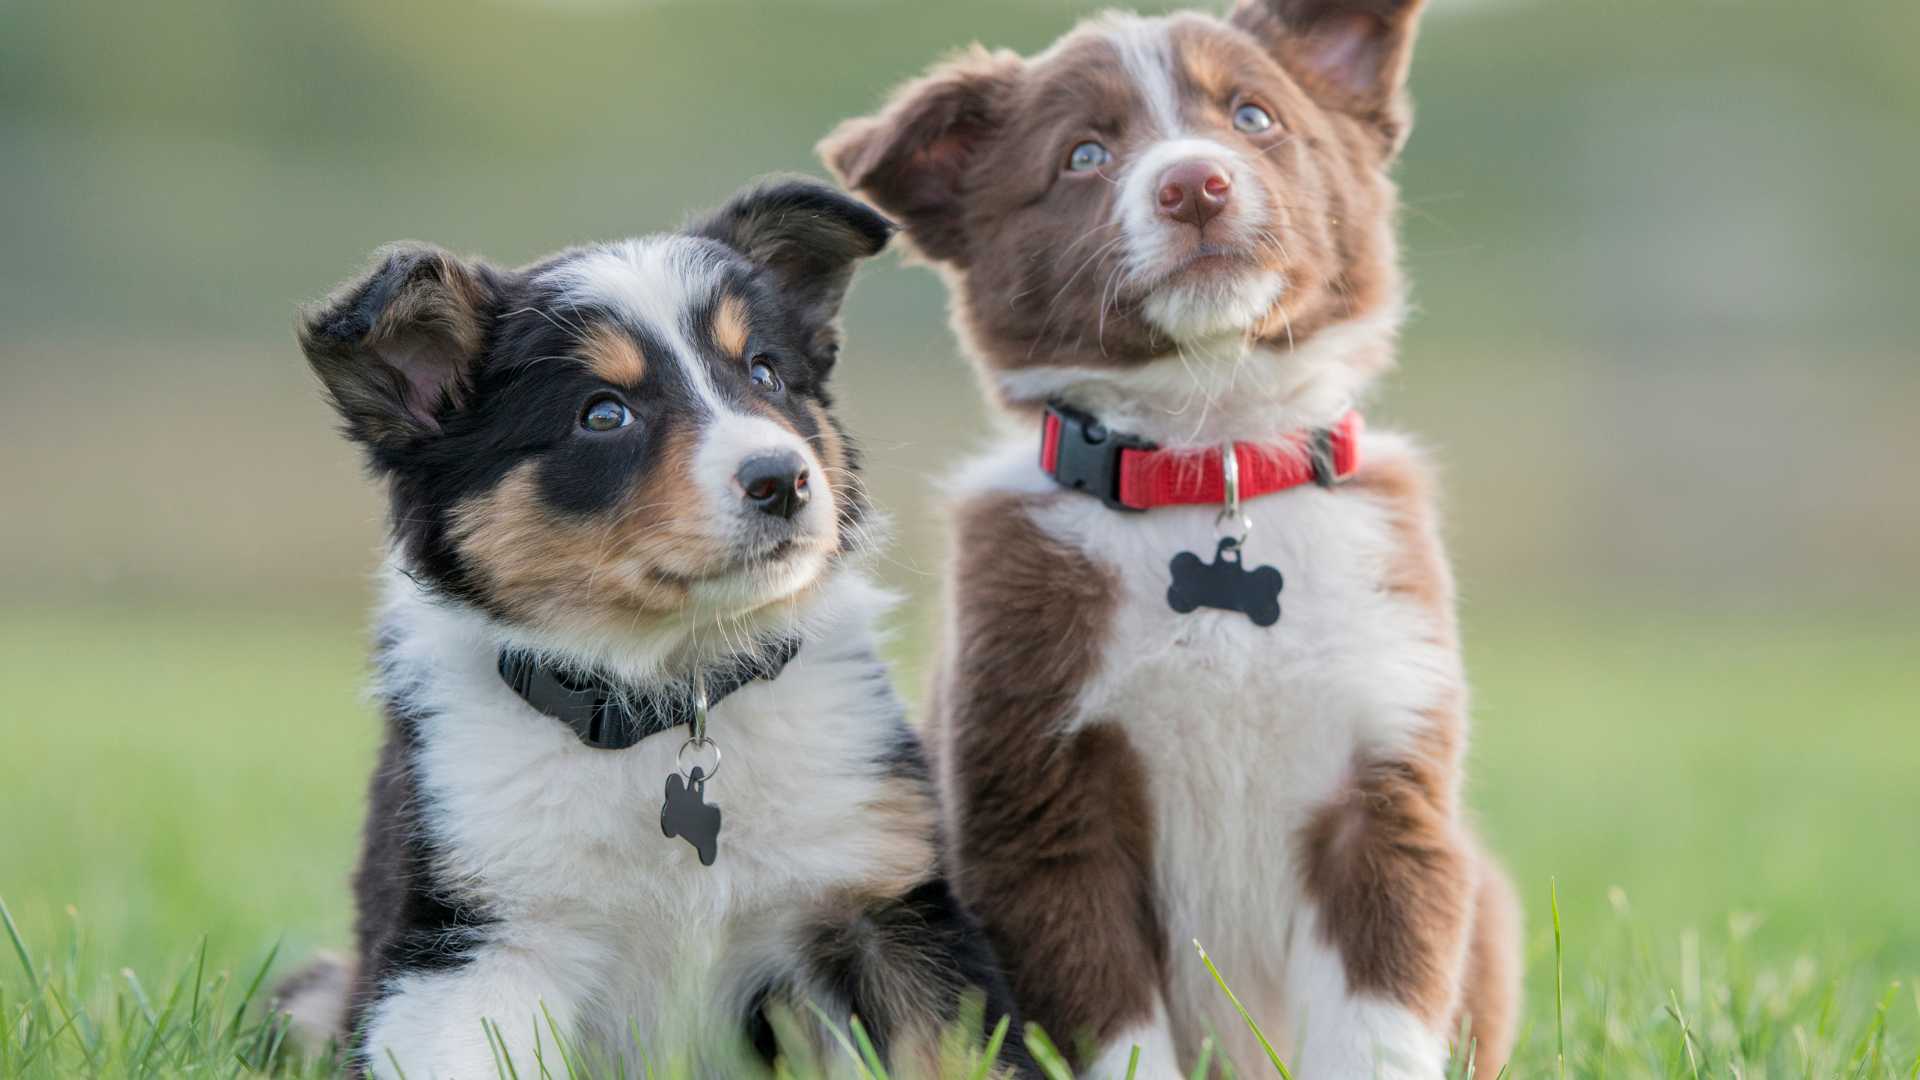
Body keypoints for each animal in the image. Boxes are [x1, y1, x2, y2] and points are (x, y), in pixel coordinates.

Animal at [821, 4, 1512, 1068]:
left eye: (1254, 116)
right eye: (1084, 155)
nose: (1195, 184)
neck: (1207, 456)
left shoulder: (1388, 786)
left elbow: (1379, 1023)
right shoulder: (1041, 812)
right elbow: (1116, 1035)